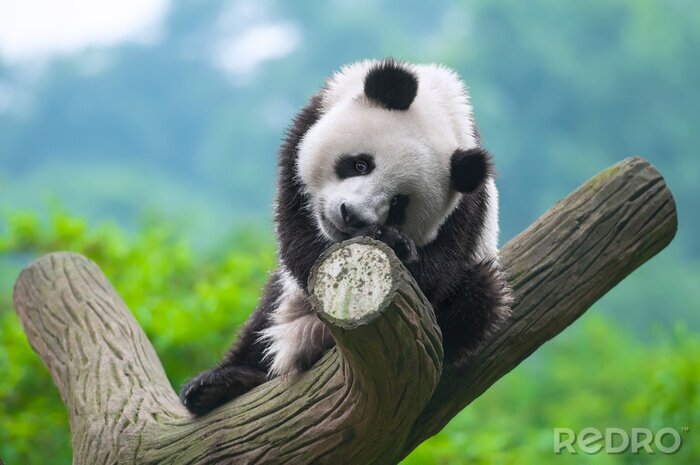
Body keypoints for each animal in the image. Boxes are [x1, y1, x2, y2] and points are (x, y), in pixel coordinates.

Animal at [180, 59, 512, 415]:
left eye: (399, 203)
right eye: (360, 164)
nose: (351, 215)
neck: (440, 104)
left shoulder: (467, 209)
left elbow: (434, 276)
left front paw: (394, 243)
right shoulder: (308, 126)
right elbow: (297, 239)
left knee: (481, 296)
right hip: (286, 302)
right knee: (264, 317)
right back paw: (218, 384)